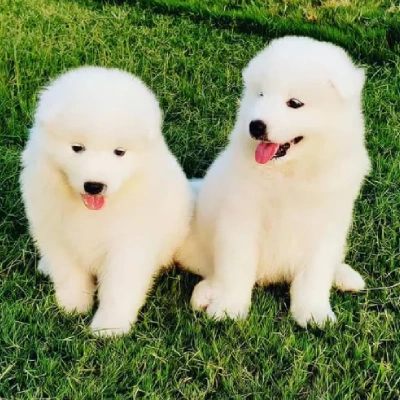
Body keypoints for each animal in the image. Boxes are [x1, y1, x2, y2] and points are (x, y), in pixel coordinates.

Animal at [21, 67, 194, 336]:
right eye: (77, 147)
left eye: (119, 152)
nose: (94, 185)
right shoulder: (55, 234)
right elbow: (69, 273)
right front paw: (74, 306)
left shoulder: (129, 244)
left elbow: (119, 287)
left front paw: (109, 329)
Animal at [178, 36, 372, 326]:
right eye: (260, 95)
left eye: (294, 103)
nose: (255, 125)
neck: (289, 172)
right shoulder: (240, 221)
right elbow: (235, 269)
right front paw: (228, 309)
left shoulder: (325, 226)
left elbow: (315, 274)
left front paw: (313, 313)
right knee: (214, 272)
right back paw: (206, 293)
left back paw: (345, 276)